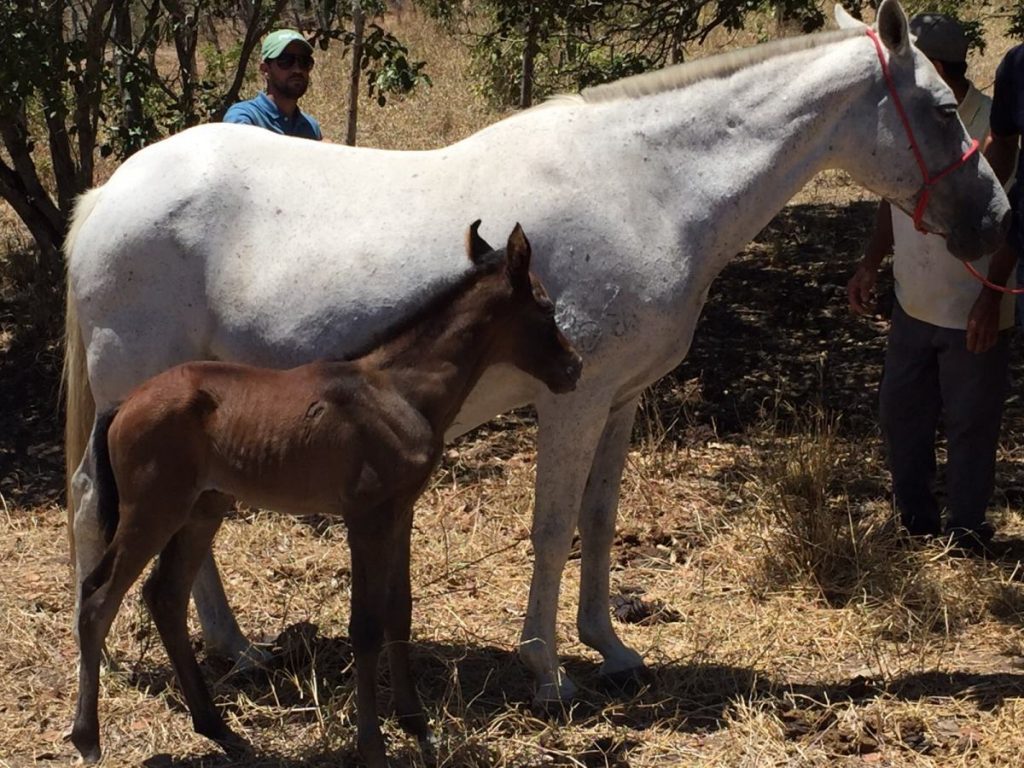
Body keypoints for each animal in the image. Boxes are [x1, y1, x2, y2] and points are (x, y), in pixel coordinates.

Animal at [61, 0, 1007, 708]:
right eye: (943, 108)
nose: (994, 220)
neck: (649, 184)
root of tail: (104, 197)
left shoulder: (619, 400)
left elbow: (599, 523)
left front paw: (612, 650)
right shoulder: (572, 401)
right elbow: (552, 529)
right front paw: (547, 670)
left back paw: (237, 650)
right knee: (97, 506)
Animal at [70, 221, 585, 765]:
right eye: (546, 307)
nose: (574, 368)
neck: (400, 391)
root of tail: (125, 404)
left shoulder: (400, 512)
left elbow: (399, 613)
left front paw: (418, 726)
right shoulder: (365, 516)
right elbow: (366, 625)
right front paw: (372, 744)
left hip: (202, 508)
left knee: (165, 597)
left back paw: (220, 730)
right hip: (153, 510)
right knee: (99, 599)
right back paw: (88, 737)